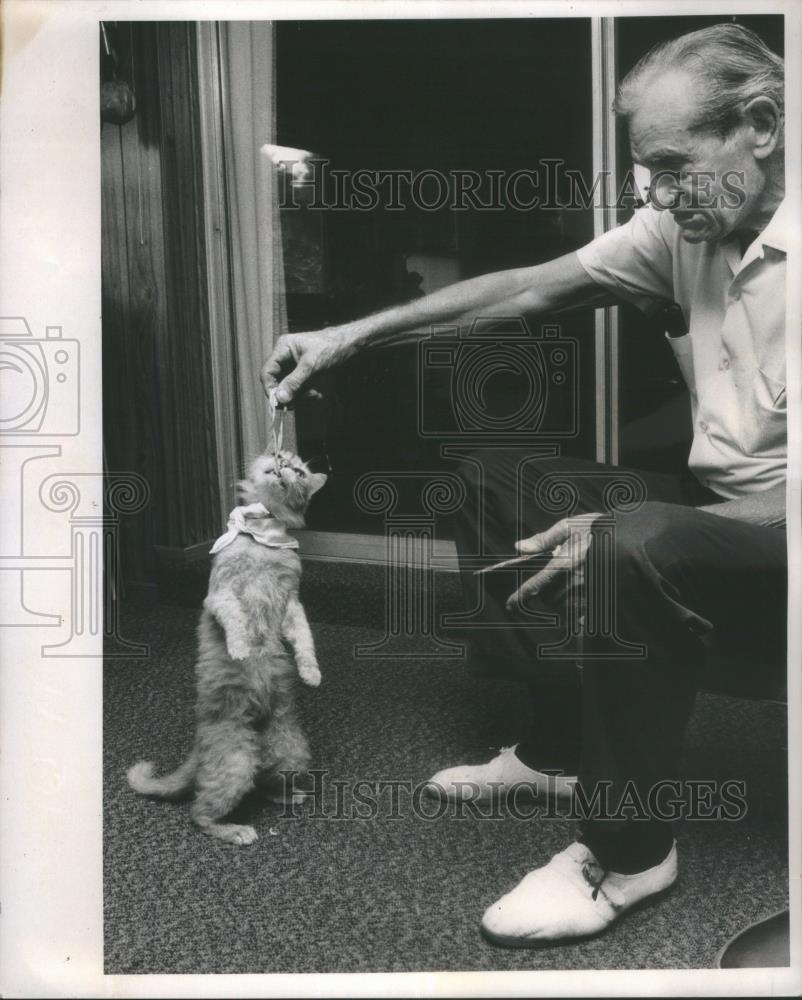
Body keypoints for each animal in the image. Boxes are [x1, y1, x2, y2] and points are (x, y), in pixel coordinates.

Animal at [127, 450, 324, 848]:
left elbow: (305, 639)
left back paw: (286, 796)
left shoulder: (292, 603)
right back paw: (236, 830)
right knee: (199, 813)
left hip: (290, 749)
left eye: (299, 471)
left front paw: (311, 673)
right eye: (281, 457)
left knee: (263, 784)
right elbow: (235, 619)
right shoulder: (221, 593)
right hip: (237, 761)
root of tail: (200, 744)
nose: (282, 459)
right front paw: (241, 648)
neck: (263, 536)